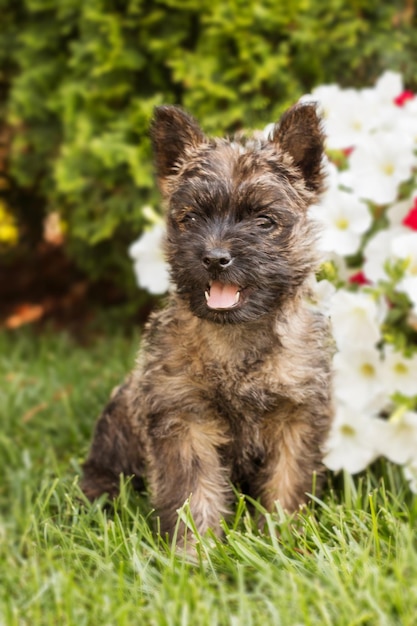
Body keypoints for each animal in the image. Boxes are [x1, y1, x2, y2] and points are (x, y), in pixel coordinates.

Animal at [81, 102, 334, 540]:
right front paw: (195, 550)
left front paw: (282, 537)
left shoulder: (296, 416)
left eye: (264, 221)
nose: (215, 258)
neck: (236, 338)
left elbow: (287, 482)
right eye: (192, 218)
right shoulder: (184, 419)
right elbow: (192, 492)